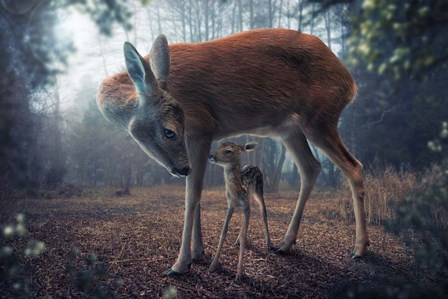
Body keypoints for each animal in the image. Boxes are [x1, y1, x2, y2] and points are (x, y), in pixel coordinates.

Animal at [98, 28, 372, 276]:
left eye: (171, 131)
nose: (181, 168)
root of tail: (351, 83)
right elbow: (197, 193)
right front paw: (198, 252)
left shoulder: (202, 127)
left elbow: (192, 195)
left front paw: (180, 264)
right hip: (289, 129)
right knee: (311, 167)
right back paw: (284, 244)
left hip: (319, 117)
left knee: (353, 166)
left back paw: (359, 249)